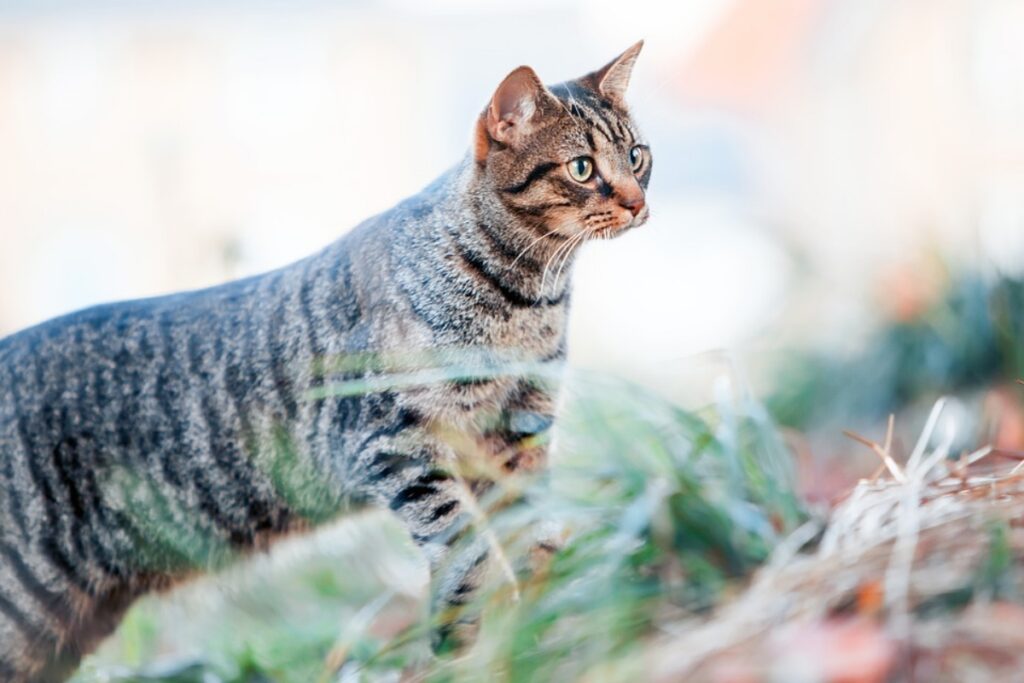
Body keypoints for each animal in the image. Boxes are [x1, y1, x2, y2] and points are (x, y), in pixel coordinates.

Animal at [0, 42, 651, 683]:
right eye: (583, 168)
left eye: (637, 156)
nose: (638, 201)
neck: (527, 300)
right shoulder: (395, 445)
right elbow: (467, 548)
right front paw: (472, 639)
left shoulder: (518, 432)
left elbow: (533, 531)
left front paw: (549, 616)